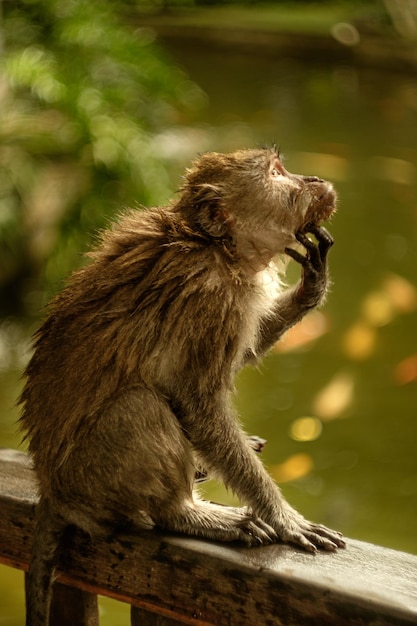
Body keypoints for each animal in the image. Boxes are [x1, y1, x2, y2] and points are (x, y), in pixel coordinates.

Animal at [19, 145, 342, 624]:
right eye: (276, 172)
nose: (314, 178)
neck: (217, 248)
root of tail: (52, 490)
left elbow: (240, 355)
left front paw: (312, 287)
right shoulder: (212, 298)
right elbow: (198, 405)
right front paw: (284, 517)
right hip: (92, 479)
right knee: (140, 405)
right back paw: (185, 515)